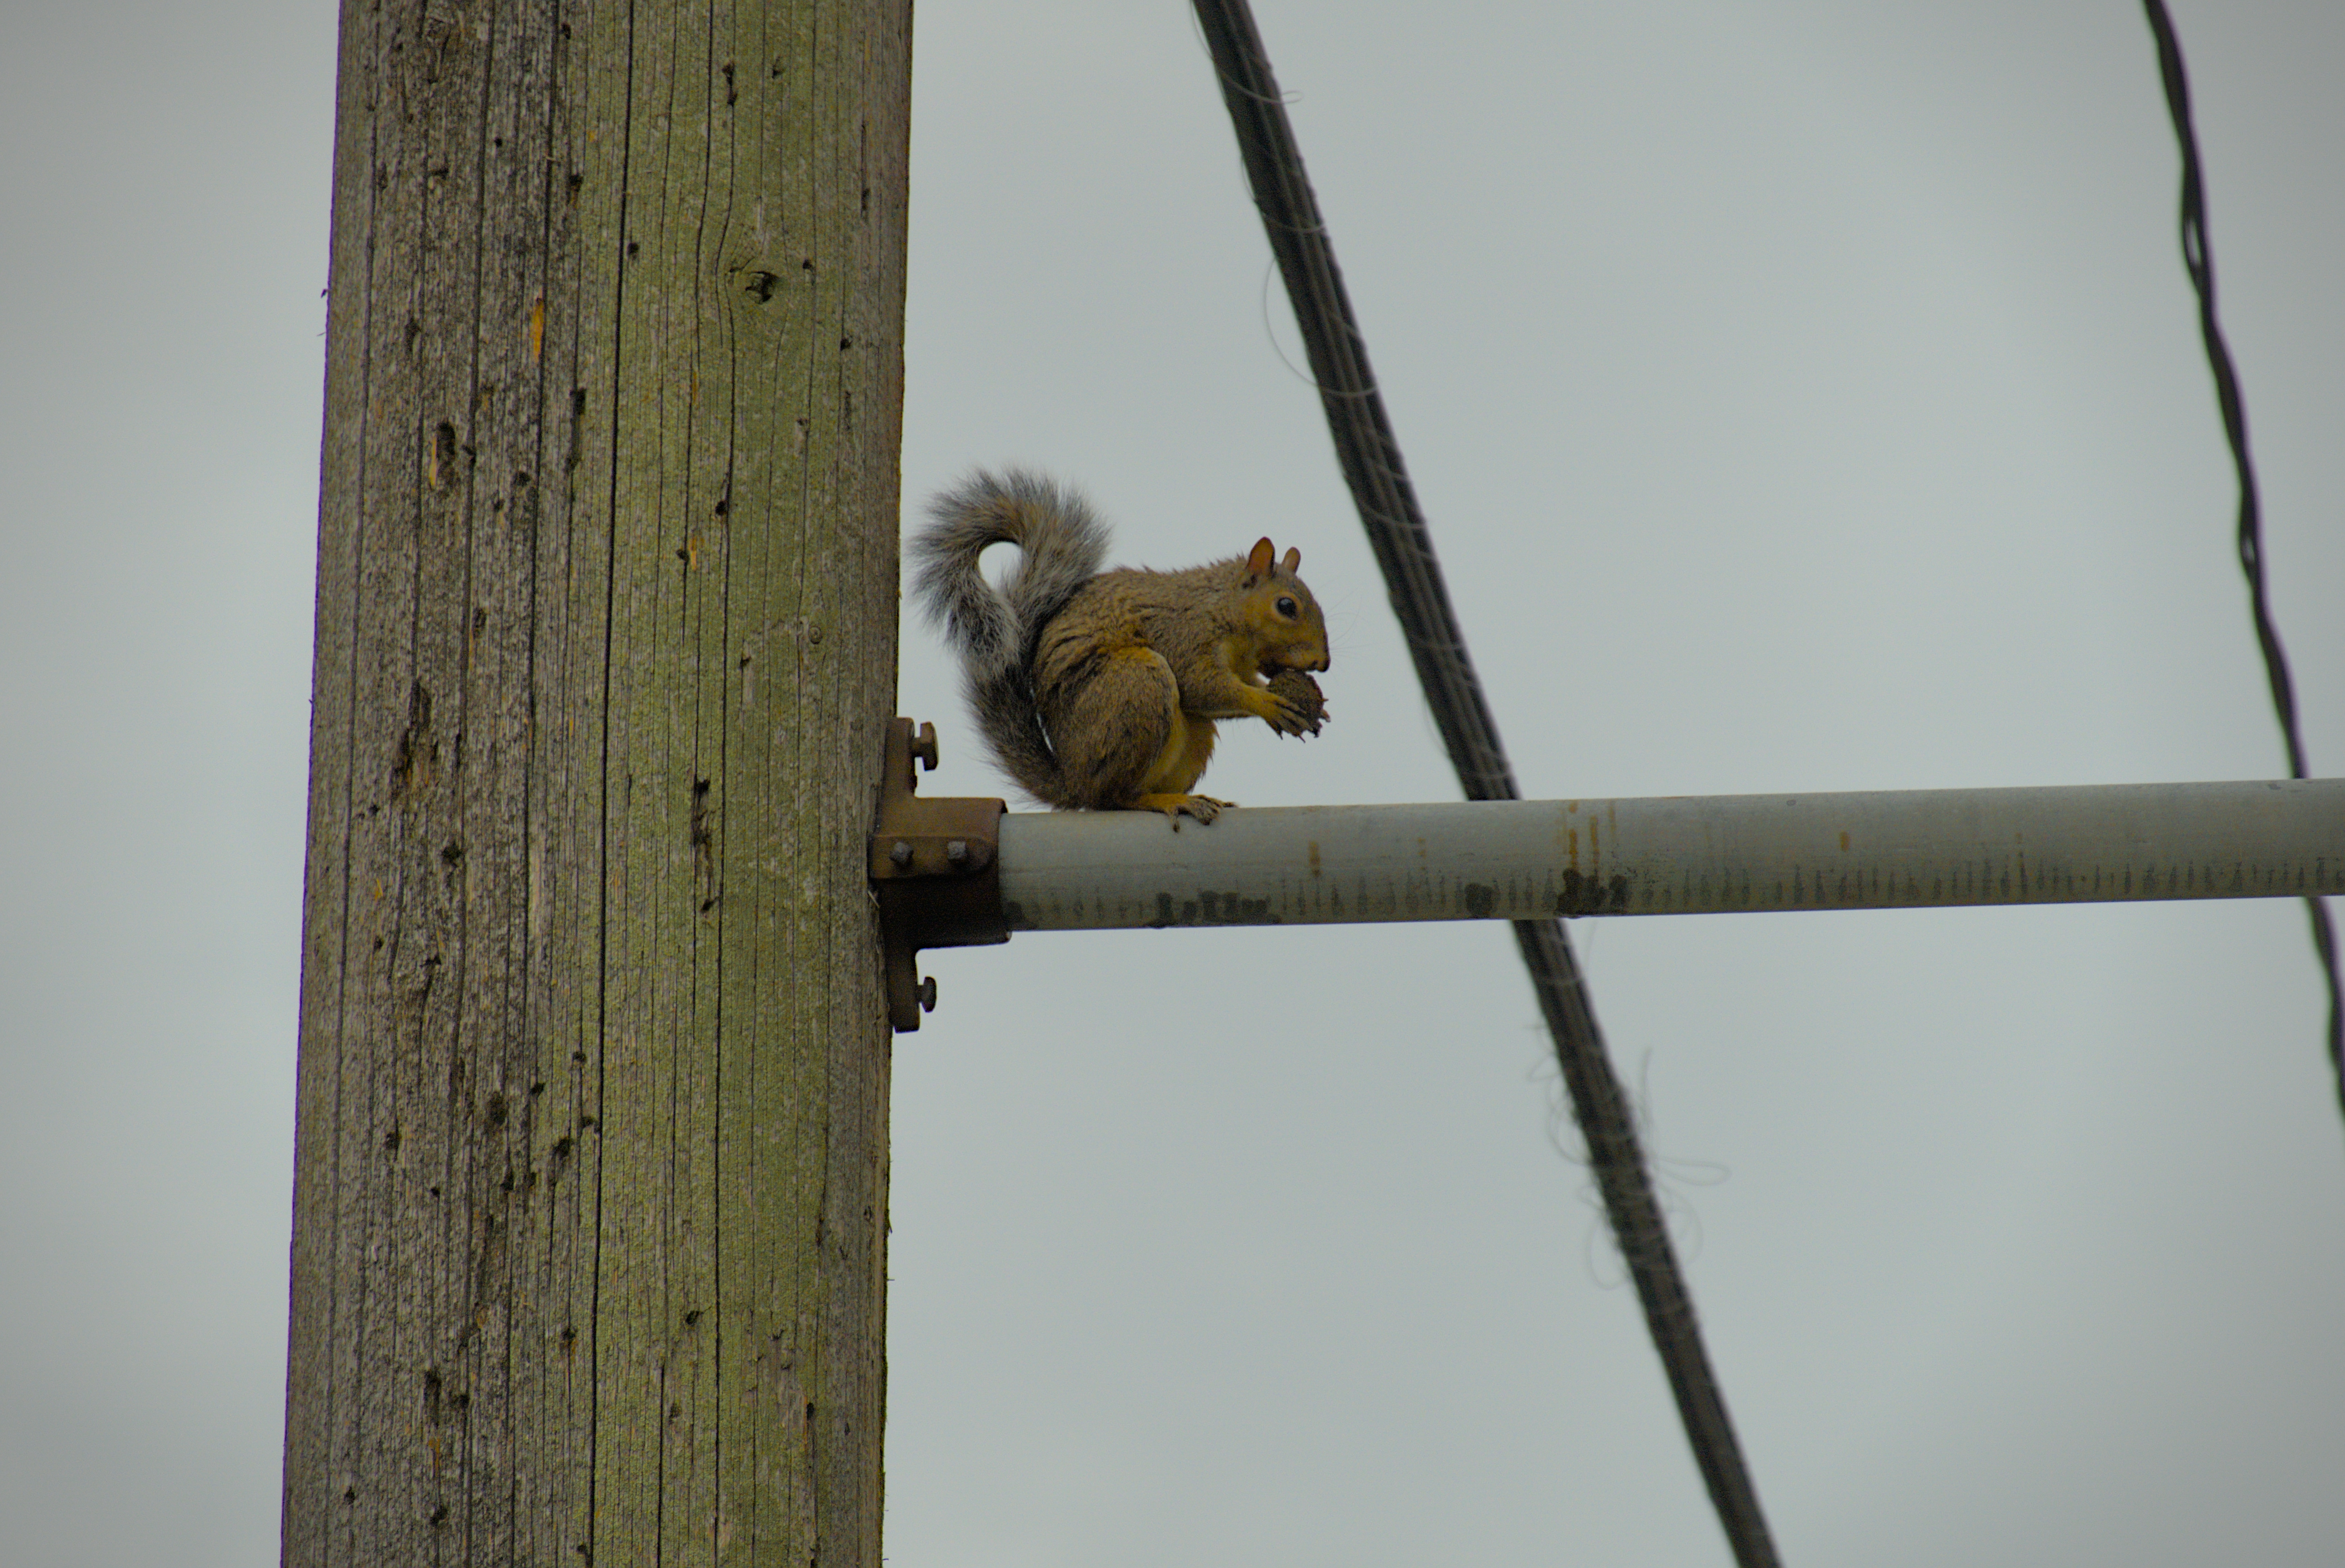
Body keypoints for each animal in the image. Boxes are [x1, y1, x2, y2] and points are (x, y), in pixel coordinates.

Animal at [910, 468, 1331, 825]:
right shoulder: (1184, 633)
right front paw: (1270, 704)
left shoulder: (1240, 664)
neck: (1224, 609)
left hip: (1189, 735)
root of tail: (1073, 782)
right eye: (1286, 607)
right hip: (1137, 684)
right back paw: (1165, 801)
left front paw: (1304, 706)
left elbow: (1228, 689)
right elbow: (1203, 686)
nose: (1323, 663)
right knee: (1114, 799)